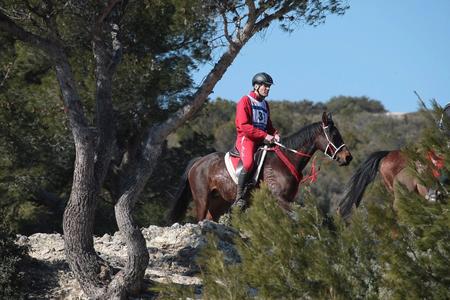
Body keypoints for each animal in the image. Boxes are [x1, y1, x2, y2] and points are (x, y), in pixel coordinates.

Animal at [167, 112, 354, 223]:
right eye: (334, 135)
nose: (348, 157)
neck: (286, 159)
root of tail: (198, 162)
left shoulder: (287, 199)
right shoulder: (280, 198)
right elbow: (299, 214)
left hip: (218, 203)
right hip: (202, 199)